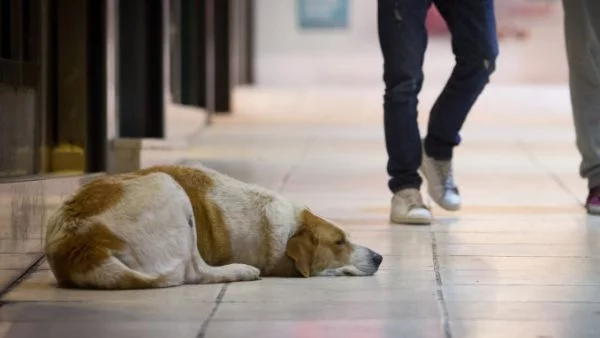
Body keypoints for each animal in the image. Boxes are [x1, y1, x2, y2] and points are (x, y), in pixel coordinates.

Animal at [44, 165, 382, 290]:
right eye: (339, 242)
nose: (379, 256)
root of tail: (81, 245)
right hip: (169, 188)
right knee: (193, 272)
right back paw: (240, 271)